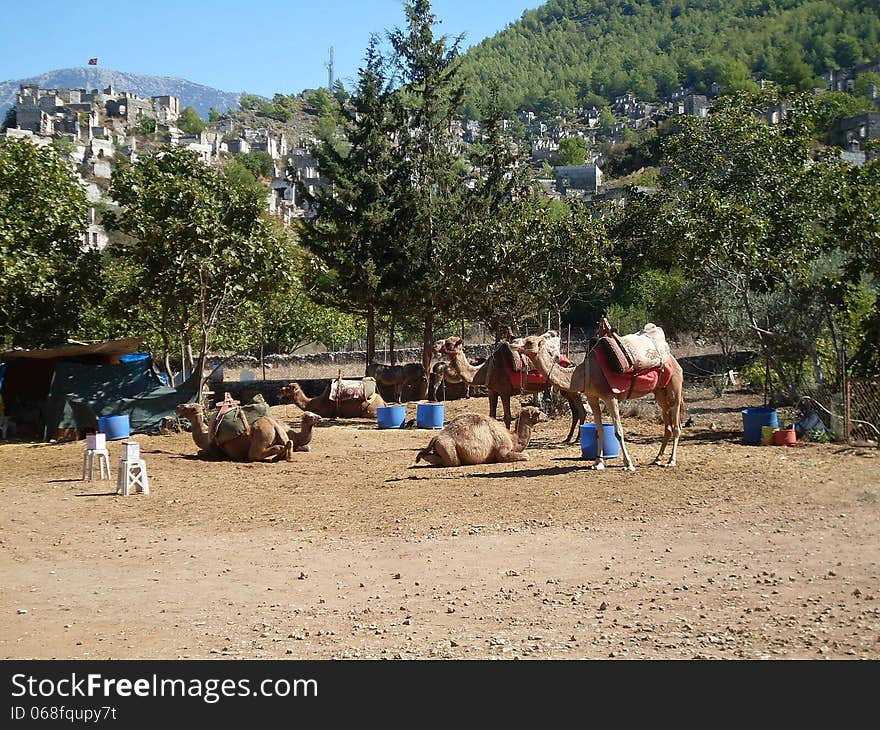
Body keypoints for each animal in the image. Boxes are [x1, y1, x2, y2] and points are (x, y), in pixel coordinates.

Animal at [174, 400, 318, 458]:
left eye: (188, 407)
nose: (178, 407)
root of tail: (273, 425)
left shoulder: (215, 450)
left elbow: (201, 452)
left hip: (261, 434)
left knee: (254, 454)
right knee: (288, 444)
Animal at [416, 404, 548, 466]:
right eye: (538, 412)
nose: (546, 417)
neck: (512, 438)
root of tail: (436, 437)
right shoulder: (502, 451)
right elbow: (526, 455)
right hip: (448, 448)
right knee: (453, 461)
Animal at [434, 334, 584, 440]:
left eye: (448, 343)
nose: (435, 345)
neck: (485, 370)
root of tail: (570, 361)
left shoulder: (504, 391)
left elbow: (507, 417)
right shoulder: (492, 391)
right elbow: (492, 416)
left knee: (581, 410)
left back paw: (577, 439)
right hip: (565, 389)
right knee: (575, 411)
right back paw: (568, 438)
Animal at [516, 328, 688, 466]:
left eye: (529, 342)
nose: (513, 343)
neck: (585, 373)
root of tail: (673, 359)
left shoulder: (610, 397)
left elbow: (618, 431)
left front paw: (628, 463)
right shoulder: (592, 397)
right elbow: (599, 431)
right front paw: (598, 463)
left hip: (675, 386)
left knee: (676, 424)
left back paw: (671, 461)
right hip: (660, 391)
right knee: (667, 424)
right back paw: (657, 458)